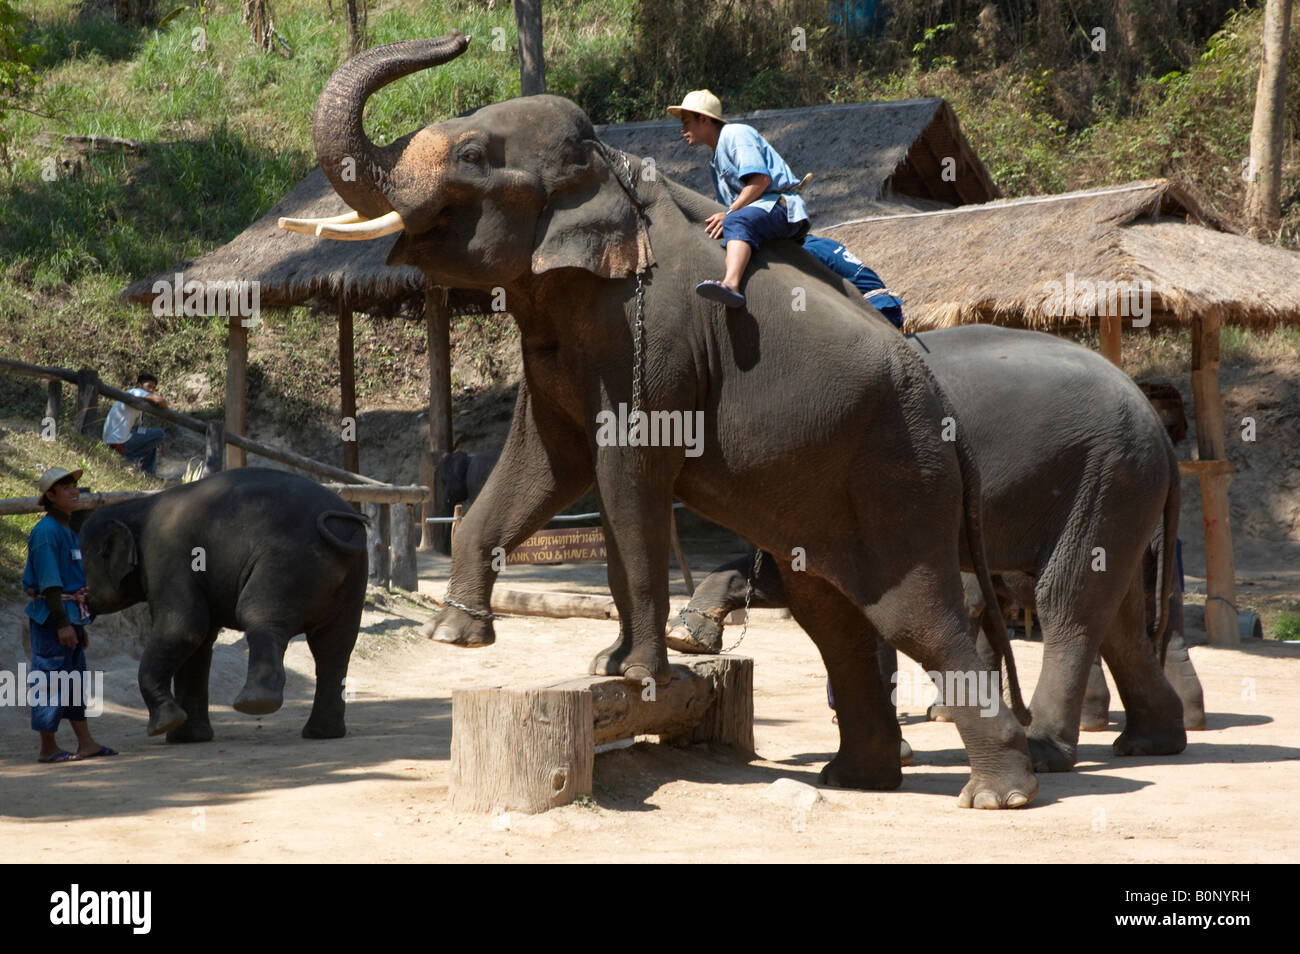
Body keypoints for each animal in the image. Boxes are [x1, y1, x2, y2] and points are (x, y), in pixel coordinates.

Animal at [79, 468, 369, 742]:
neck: (136, 507)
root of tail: (343, 523)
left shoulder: (166, 557)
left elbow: (185, 628)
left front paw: (164, 726)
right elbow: (200, 642)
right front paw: (187, 739)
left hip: (290, 559)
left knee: (257, 613)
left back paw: (256, 703)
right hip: (351, 580)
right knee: (334, 646)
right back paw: (322, 733)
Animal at [284, 33, 1040, 808]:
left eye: (470, 155)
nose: (460, 39)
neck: (611, 167)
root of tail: (947, 410)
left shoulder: (653, 340)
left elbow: (627, 475)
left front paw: (636, 674)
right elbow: (549, 464)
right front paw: (472, 637)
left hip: (900, 476)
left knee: (916, 614)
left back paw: (996, 796)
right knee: (835, 617)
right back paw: (858, 780)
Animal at [667, 325, 1191, 772]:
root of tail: (1161, 432)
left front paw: (897, 753)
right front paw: (689, 637)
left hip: (1105, 475)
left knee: (1069, 601)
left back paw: (1044, 751)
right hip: (1121, 490)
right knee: (1119, 616)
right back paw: (1151, 743)